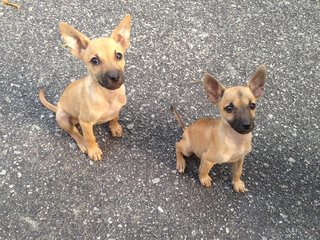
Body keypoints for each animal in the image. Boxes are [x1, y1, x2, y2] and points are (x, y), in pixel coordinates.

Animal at [39, 15, 131, 161]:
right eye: (94, 60)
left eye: (119, 55)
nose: (115, 77)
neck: (108, 95)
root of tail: (57, 107)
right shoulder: (85, 123)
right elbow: (90, 137)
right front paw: (93, 150)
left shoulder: (117, 109)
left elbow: (115, 117)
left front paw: (114, 127)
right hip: (63, 119)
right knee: (74, 132)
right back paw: (82, 143)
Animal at [172, 64, 268, 192]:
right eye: (229, 108)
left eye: (253, 105)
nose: (247, 125)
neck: (236, 140)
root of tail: (187, 128)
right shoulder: (207, 159)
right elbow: (203, 171)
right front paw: (204, 179)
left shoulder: (240, 159)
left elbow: (237, 172)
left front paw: (237, 183)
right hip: (188, 148)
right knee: (177, 145)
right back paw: (181, 163)